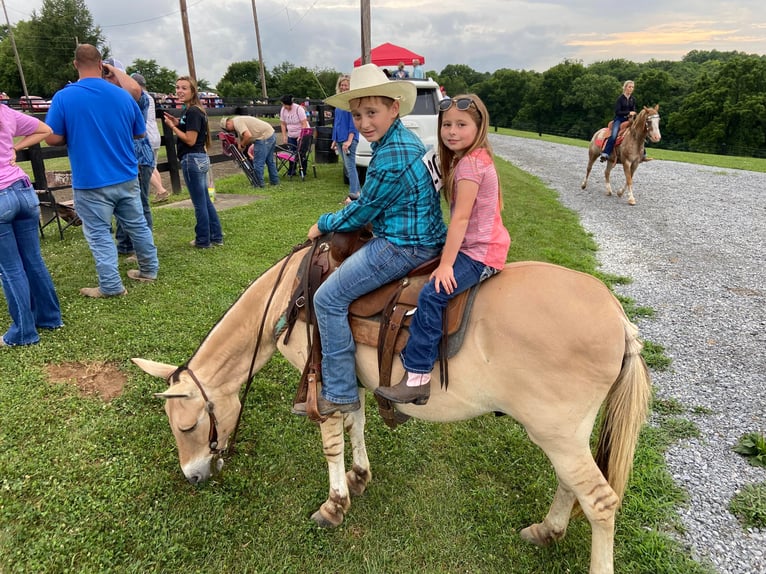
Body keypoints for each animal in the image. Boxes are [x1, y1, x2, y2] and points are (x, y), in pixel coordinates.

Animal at [135, 246, 652, 574]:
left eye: (187, 425)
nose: (193, 476)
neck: (291, 297)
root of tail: (618, 317)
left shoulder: (321, 382)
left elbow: (331, 443)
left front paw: (335, 503)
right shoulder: (350, 379)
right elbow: (356, 422)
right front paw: (360, 476)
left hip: (557, 433)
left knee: (600, 502)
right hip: (563, 434)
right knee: (571, 485)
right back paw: (546, 530)